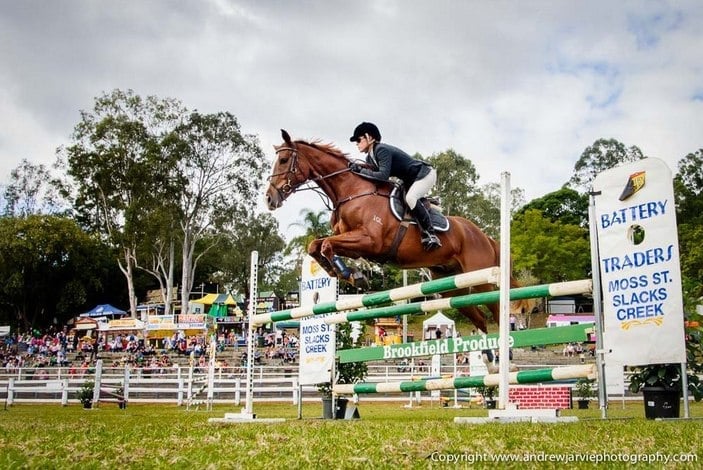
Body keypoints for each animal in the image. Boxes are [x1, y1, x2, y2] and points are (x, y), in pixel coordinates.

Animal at [264, 129, 524, 334]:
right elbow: (315, 245)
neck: (351, 191)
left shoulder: (370, 241)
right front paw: (340, 272)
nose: (269, 199)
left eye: (284, 160)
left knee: (496, 311)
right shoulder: (352, 243)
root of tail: (486, 237)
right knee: (479, 319)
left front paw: (352, 275)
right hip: (452, 285)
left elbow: (327, 244)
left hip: (482, 279)